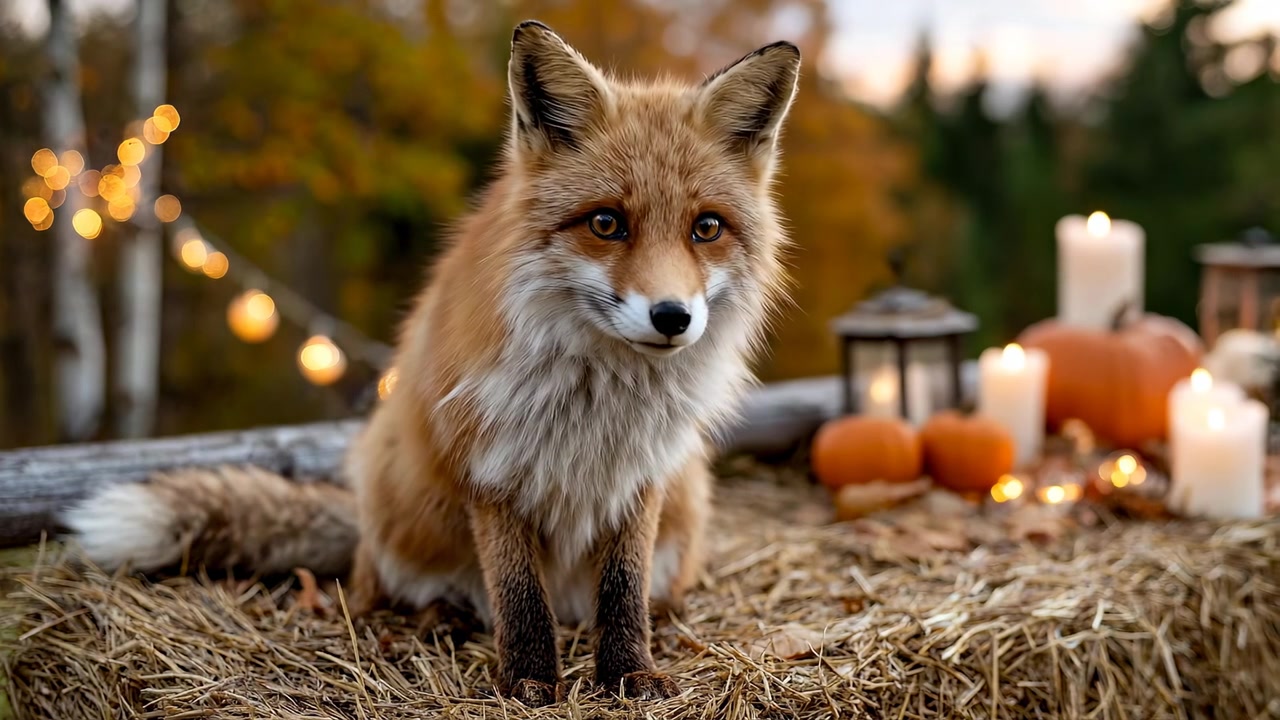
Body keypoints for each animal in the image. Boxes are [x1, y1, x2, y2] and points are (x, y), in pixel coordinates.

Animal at [62, 21, 800, 707]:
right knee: (388, 591)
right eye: (606, 224)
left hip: (689, 493)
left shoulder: (643, 472)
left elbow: (623, 591)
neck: (599, 397)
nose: (672, 317)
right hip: (392, 485)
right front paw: (528, 682)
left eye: (706, 228)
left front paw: (628, 674)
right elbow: (518, 595)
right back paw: (438, 617)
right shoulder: (491, 466)